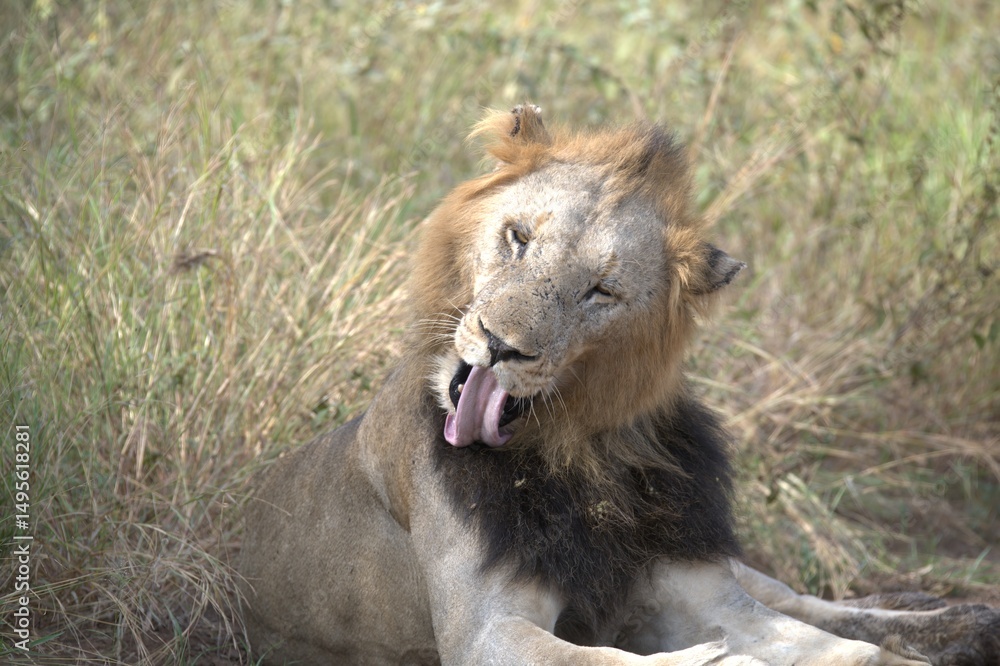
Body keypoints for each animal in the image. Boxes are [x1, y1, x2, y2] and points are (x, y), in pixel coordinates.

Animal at [238, 105, 999, 665]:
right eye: (518, 237)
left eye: (600, 291)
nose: (499, 343)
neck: (580, 450)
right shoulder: (484, 627)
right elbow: (606, 658)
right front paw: (717, 658)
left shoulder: (703, 589)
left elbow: (823, 642)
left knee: (806, 601)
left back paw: (964, 622)